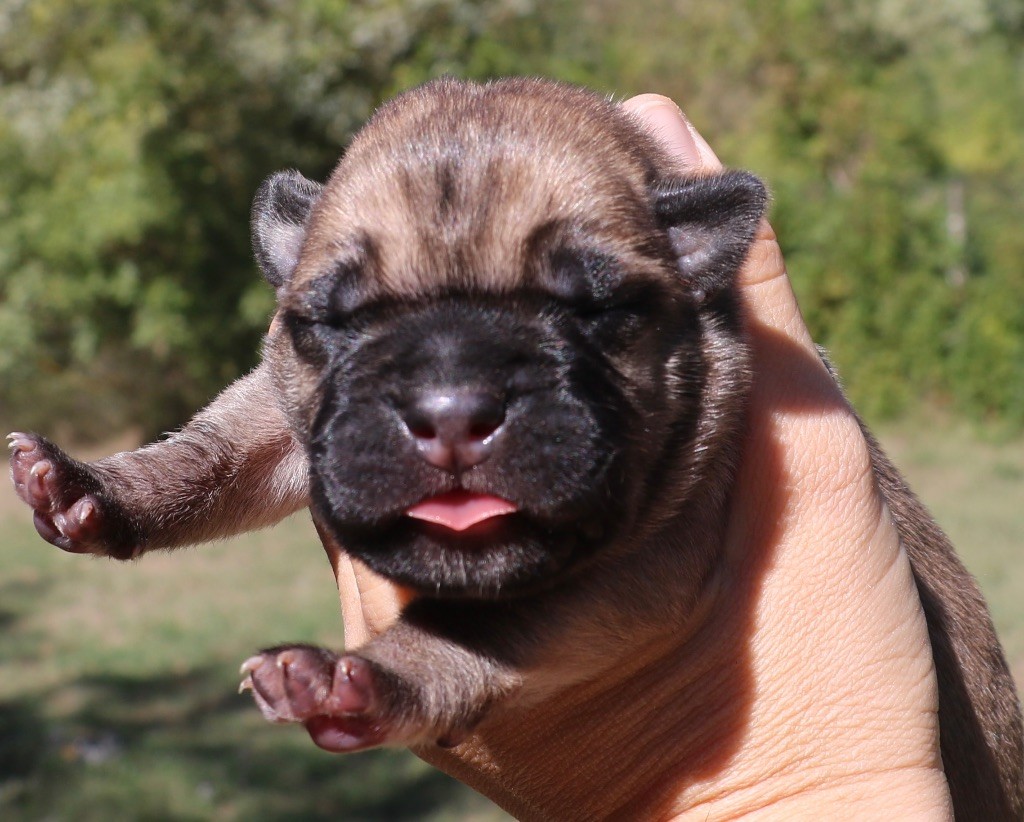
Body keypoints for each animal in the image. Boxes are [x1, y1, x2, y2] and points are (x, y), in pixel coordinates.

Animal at [9, 78, 1024, 822]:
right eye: (335, 320)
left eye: (592, 309)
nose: (453, 409)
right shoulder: (282, 411)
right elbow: (219, 454)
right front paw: (92, 488)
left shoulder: (637, 574)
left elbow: (470, 632)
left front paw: (358, 677)